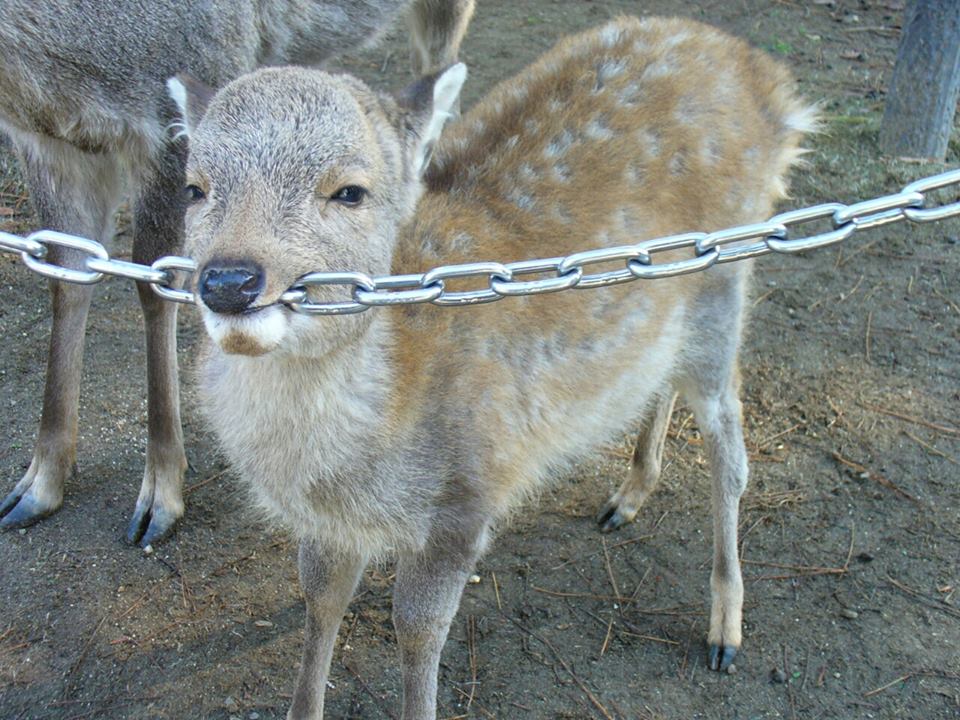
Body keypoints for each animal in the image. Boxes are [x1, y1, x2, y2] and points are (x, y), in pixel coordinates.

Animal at [0, 0, 475, 546]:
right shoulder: (46, 140)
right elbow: (67, 271)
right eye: (198, 188)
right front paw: (37, 483)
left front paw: (160, 493)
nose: (232, 286)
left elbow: (155, 283)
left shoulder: (184, 84)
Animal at [170, 15, 816, 719]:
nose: (229, 281)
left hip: (725, 277)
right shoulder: (327, 522)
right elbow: (320, 599)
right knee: (663, 376)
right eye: (194, 187)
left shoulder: (466, 496)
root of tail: (769, 83)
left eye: (349, 191)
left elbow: (417, 631)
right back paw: (629, 495)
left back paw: (724, 626)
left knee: (730, 440)